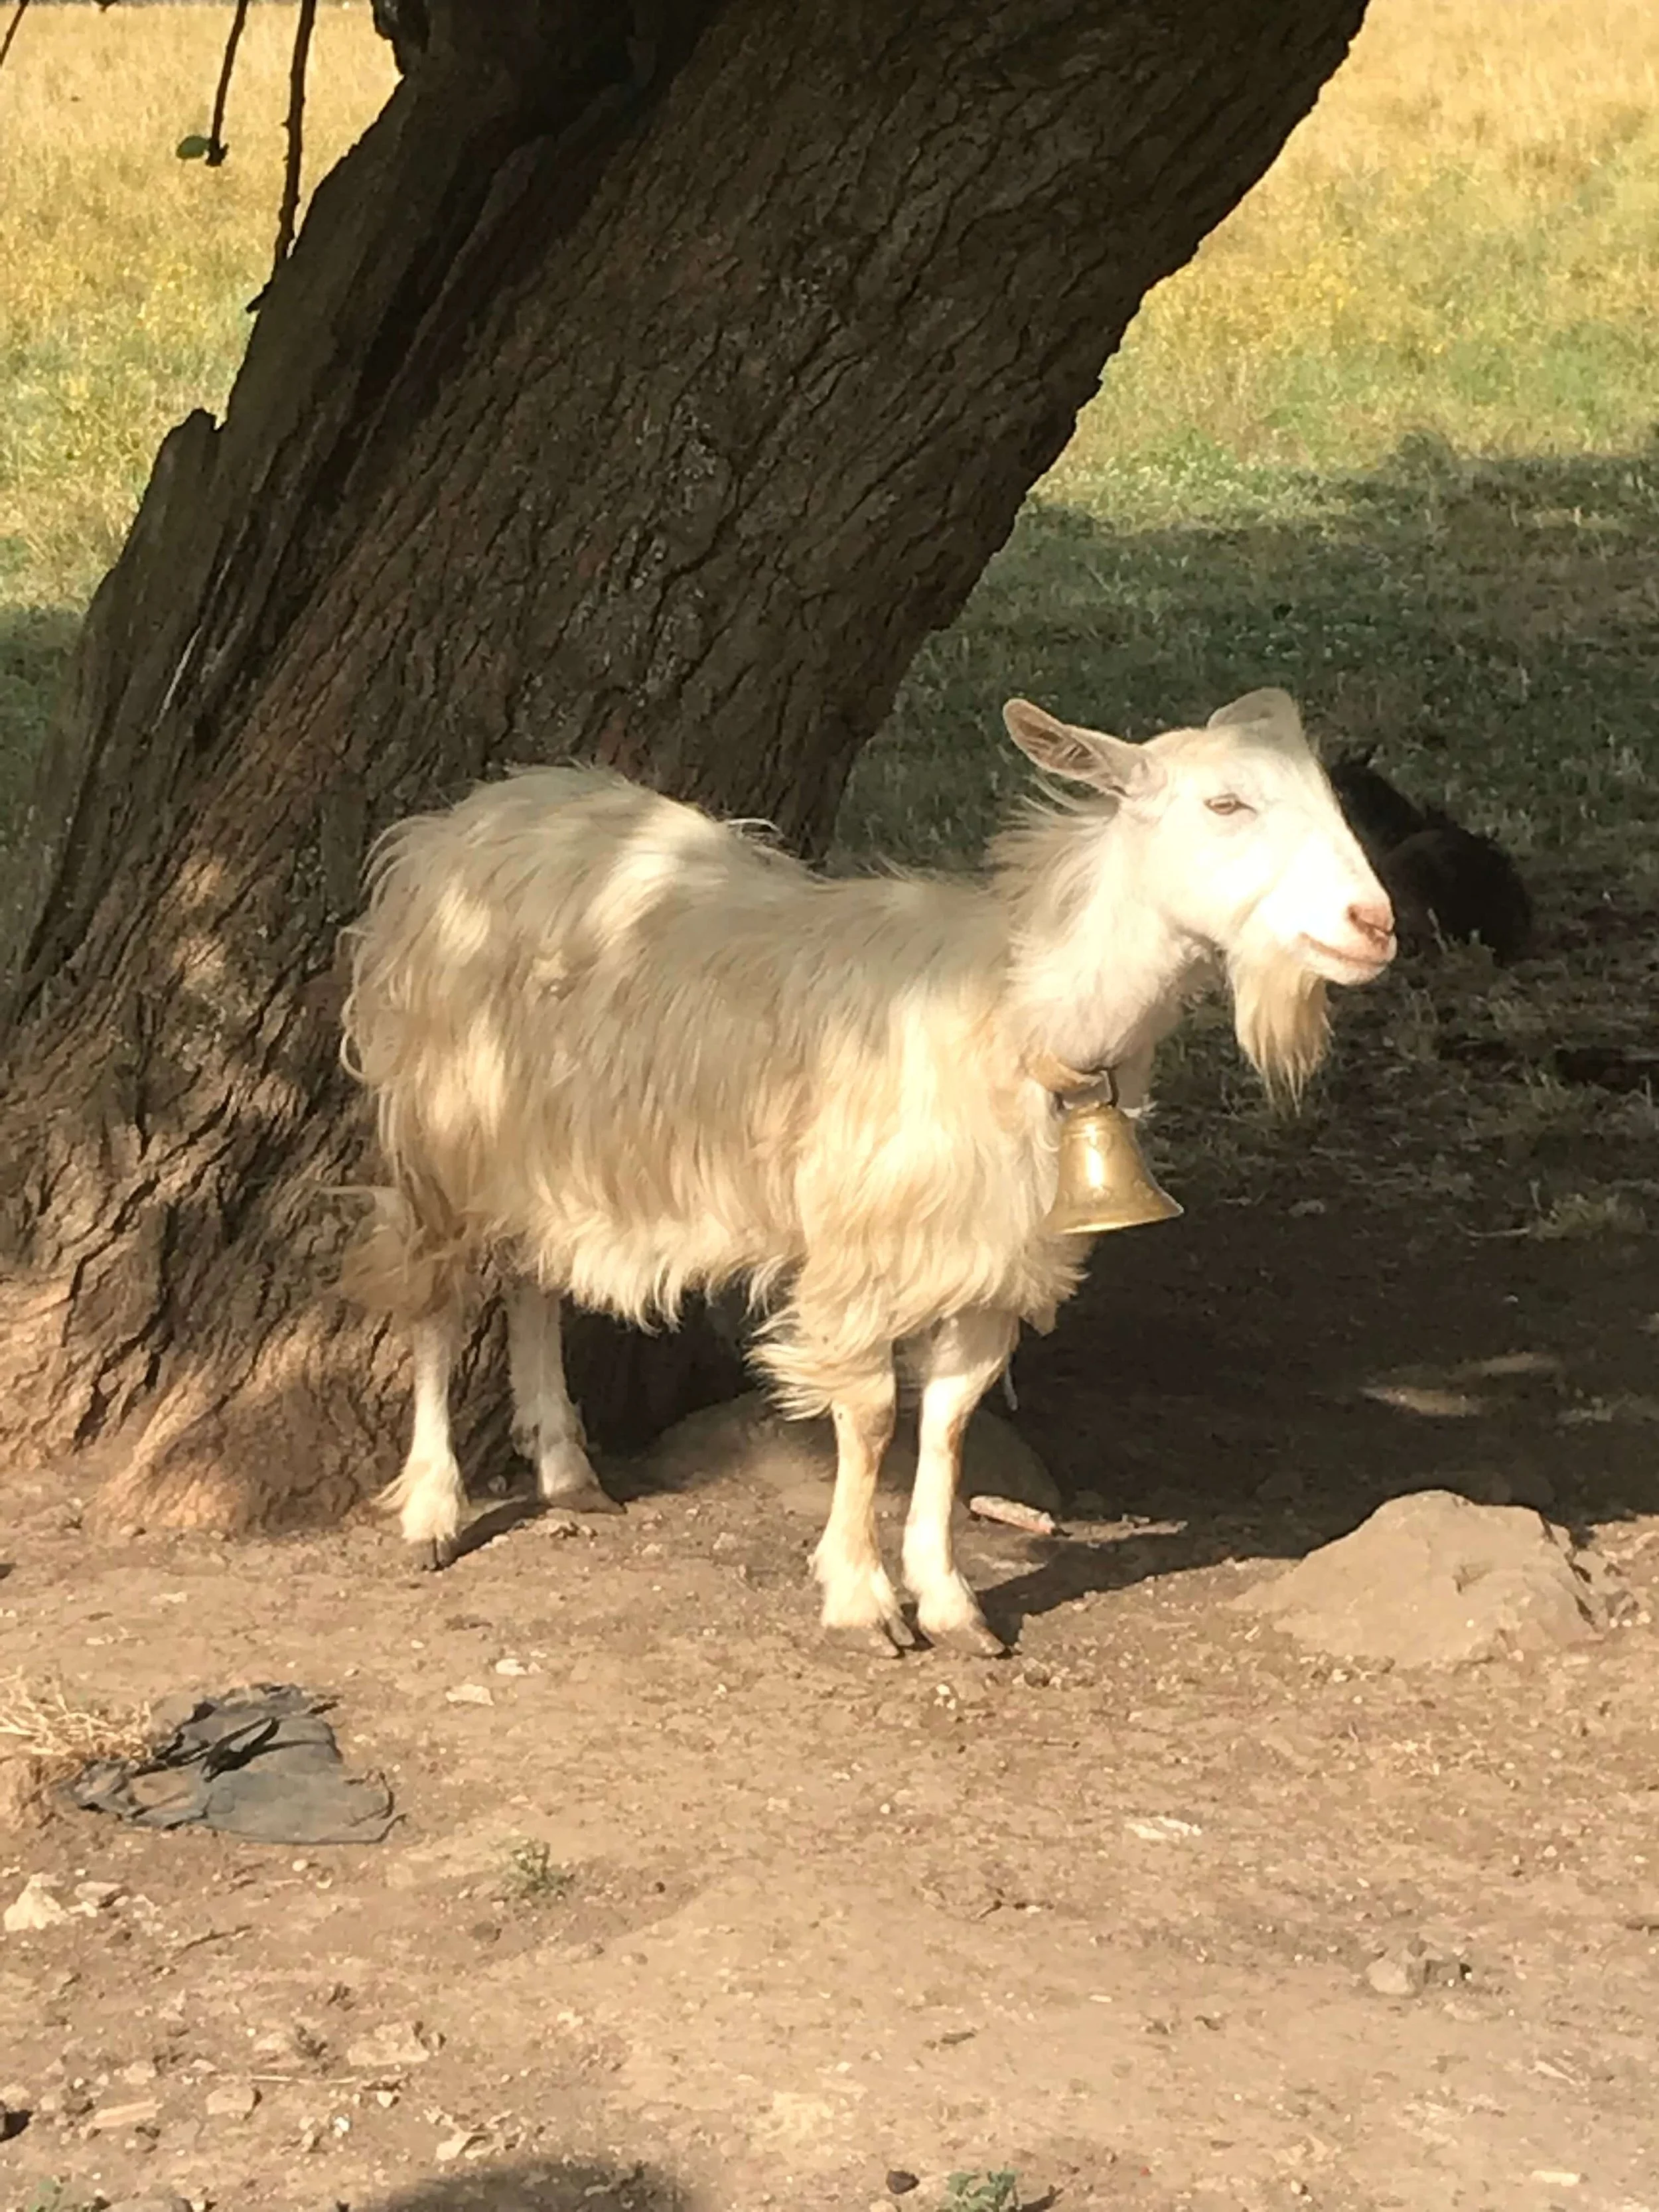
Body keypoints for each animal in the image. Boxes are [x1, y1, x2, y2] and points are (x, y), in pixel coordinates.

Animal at [339, 688, 1395, 1656]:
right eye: (1225, 803)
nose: (1374, 923)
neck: (1017, 1011)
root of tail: (469, 817)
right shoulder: (858, 1255)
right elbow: (874, 1417)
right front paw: (862, 1598)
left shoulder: (992, 1255)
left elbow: (950, 1423)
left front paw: (952, 1603)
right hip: (442, 1125)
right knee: (436, 1297)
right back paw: (432, 1510)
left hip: (553, 1147)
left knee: (530, 1276)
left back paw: (567, 1469)